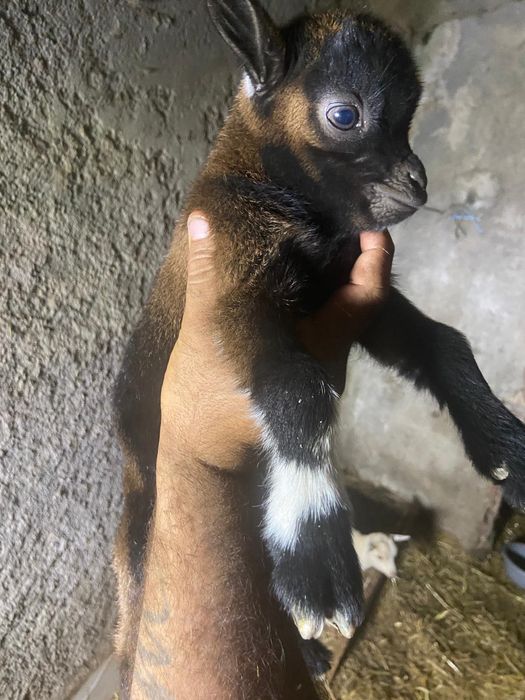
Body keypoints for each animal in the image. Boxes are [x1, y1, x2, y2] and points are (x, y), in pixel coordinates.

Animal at [113, 0, 525, 685]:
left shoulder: (358, 302)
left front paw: (505, 451)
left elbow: (445, 344)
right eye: (345, 115)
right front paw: (316, 557)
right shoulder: (236, 285)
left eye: (411, 117)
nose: (417, 184)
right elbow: (298, 388)